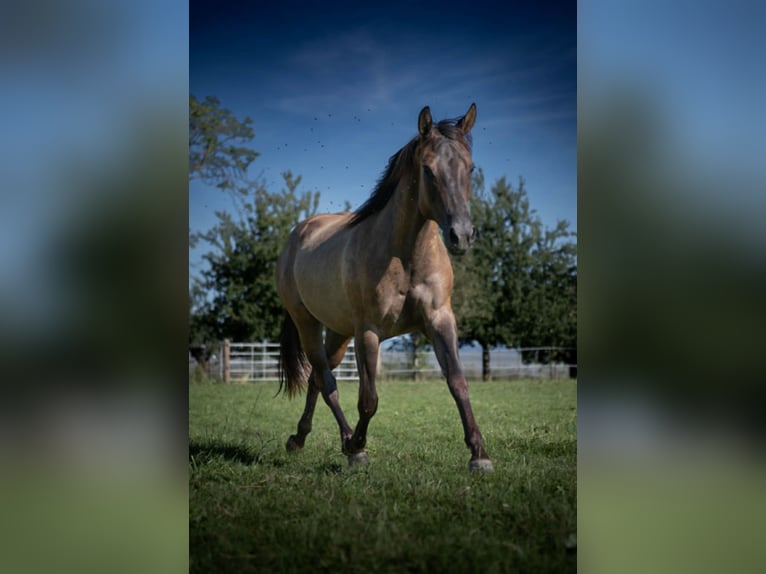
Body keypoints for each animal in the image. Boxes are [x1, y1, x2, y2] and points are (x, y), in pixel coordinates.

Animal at [276, 104, 493, 472]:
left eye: (471, 168)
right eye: (427, 168)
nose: (461, 235)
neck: (405, 256)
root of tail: (298, 234)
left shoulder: (440, 320)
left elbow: (458, 383)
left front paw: (479, 454)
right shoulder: (369, 332)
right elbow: (369, 399)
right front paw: (359, 448)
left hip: (338, 332)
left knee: (318, 379)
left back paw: (301, 438)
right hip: (308, 324)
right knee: (326, 381)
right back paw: (345, 441)